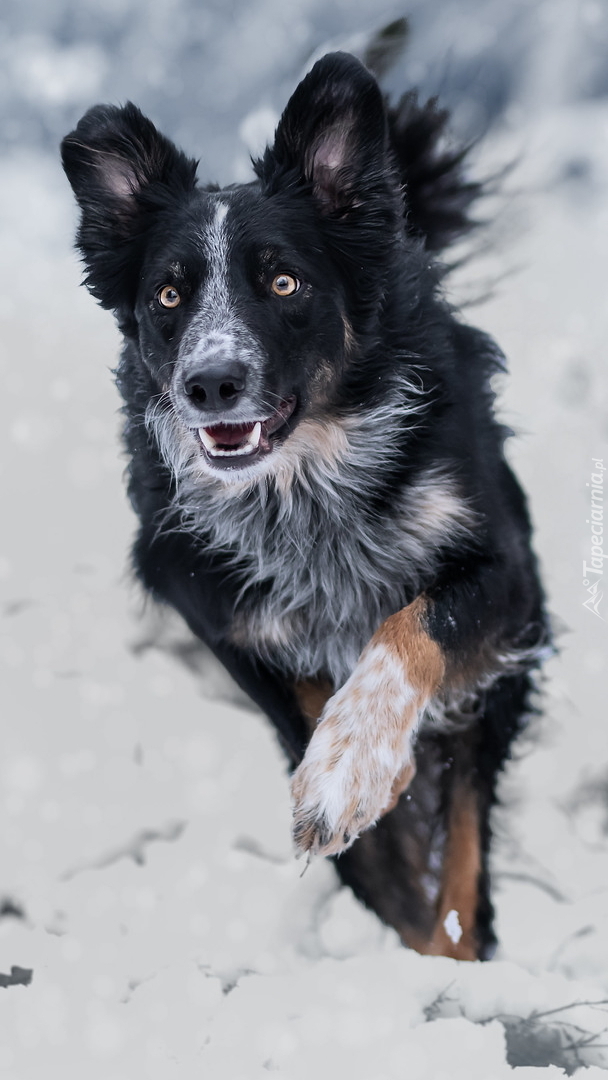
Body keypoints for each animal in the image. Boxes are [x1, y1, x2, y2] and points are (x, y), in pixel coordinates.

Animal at [63, 52, 552, 963]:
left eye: (284, 281)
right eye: (170, 297)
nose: (209, 384)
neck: (304, 488)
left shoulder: (504, 572)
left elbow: (411, 627)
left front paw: (350, 770)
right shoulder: (221, 611)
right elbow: (322, 729)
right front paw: (358, 776)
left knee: (465, 856)